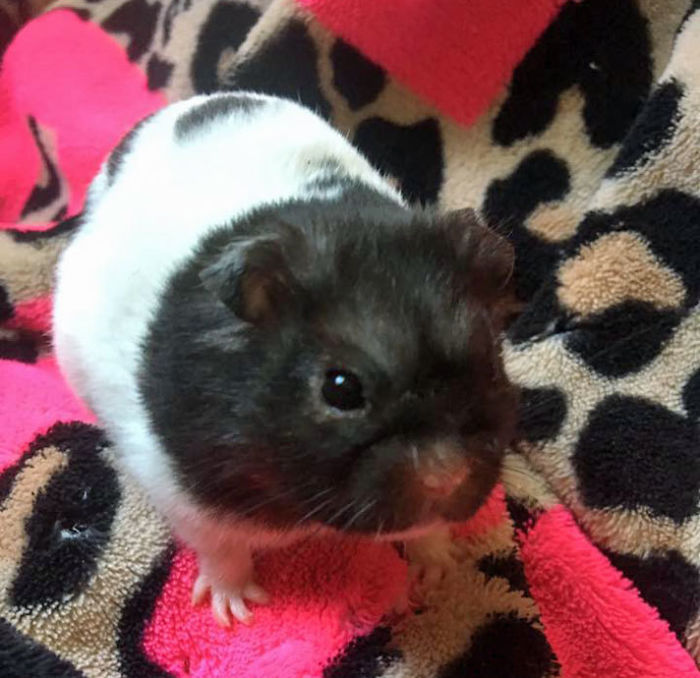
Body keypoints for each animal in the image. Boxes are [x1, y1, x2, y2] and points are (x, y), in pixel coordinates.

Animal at [53, 92, 518, 626]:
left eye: (490, 364)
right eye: (341, 389)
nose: (449, 477)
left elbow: (427, 532)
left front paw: (440, 574)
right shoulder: (183, 494)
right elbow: (223, 551)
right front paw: (237, 612)